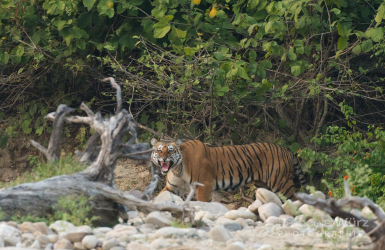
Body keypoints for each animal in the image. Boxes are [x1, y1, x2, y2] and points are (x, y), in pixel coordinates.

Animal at [150, 138, 306, 202]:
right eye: (159, 150)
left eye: (170, 150)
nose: (164, 158)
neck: (178, 168)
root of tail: (286, 150)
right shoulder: (173, 188)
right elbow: (159, 197)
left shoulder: (204, 186)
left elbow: (202, 203)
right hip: (263, 185)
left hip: (281, 184)